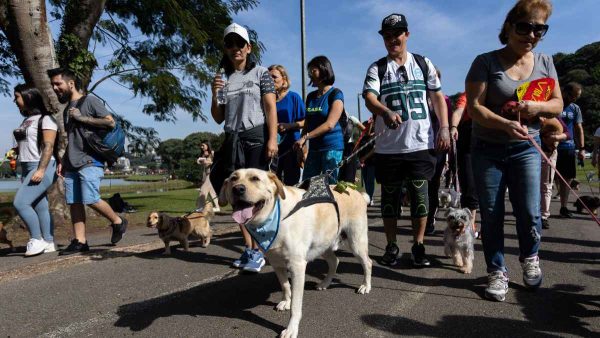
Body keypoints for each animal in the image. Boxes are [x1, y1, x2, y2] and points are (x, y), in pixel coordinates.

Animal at [220, 169, 370, 338]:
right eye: (233, 178)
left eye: (255, 178)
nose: (237, 189)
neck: (275, 218)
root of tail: (357, 192)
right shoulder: (277, 264)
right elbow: (285, 285)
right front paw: (286, 301)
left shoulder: (297, 266)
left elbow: (296, 306)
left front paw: (291, 328)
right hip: (323, 244)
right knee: (334, 261)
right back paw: (325, 283)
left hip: (356, 242)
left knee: (368, 263)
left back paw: (365, 286)